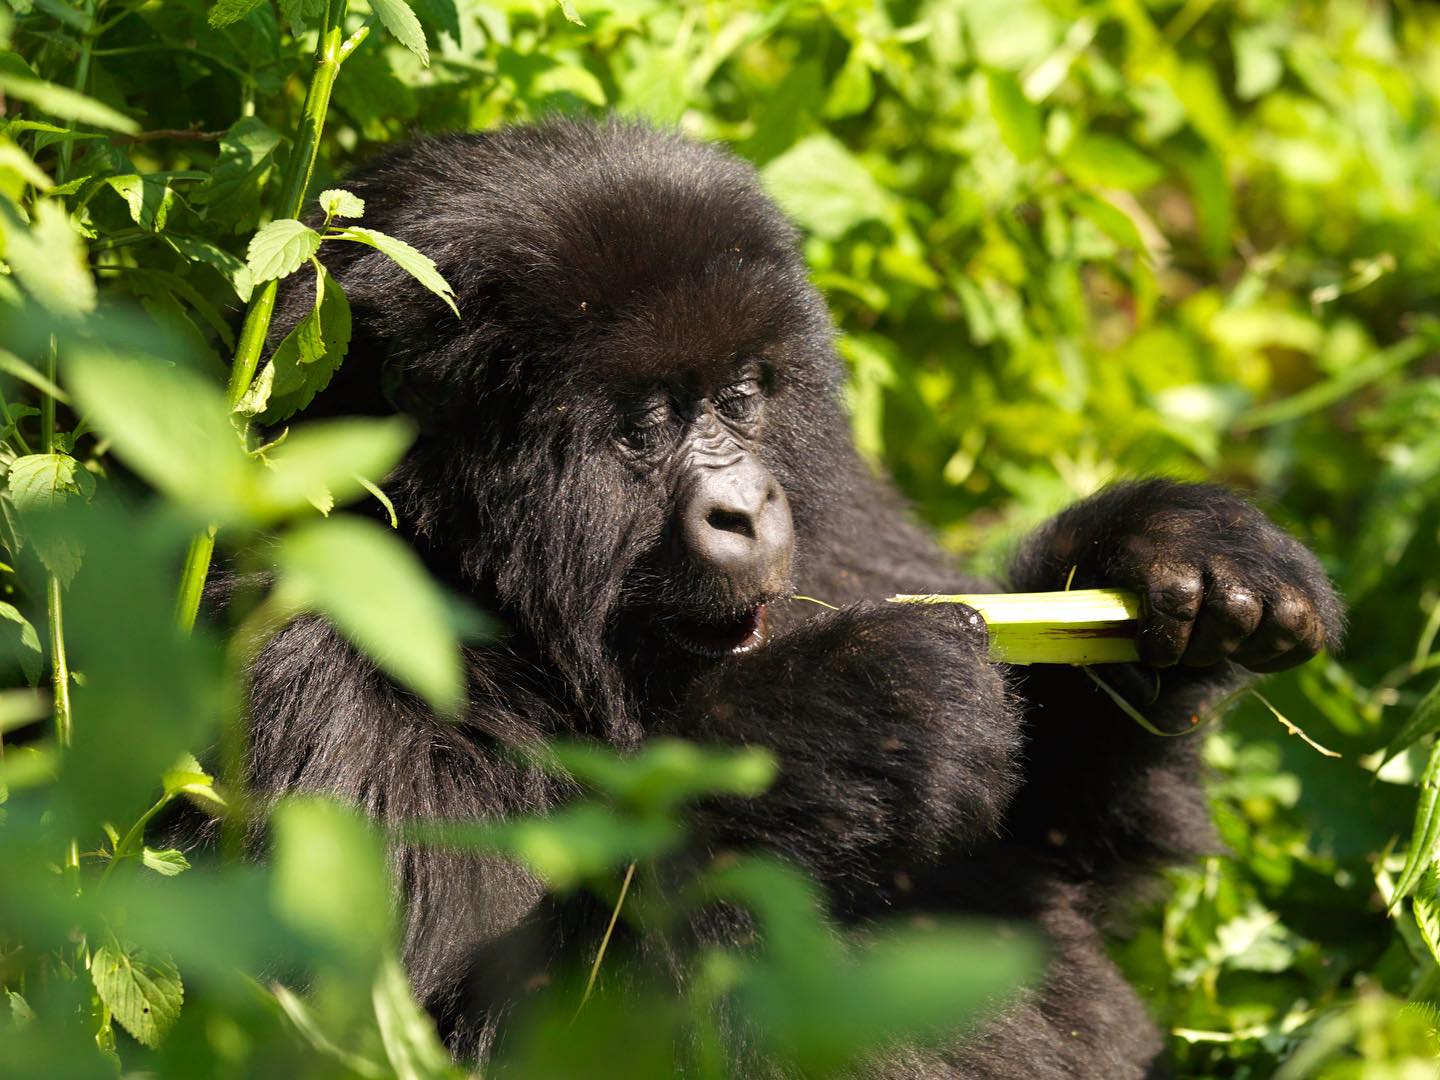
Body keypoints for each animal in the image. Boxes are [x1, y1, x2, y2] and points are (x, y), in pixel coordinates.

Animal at [253, 114, 1342, 1077]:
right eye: (642, 428)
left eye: (742, 397)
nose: (746, 510)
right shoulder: (309, 663)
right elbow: (435, 1034)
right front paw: (863, 718)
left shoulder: (839, 504)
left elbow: (1049, 857)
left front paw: (1163, 546)